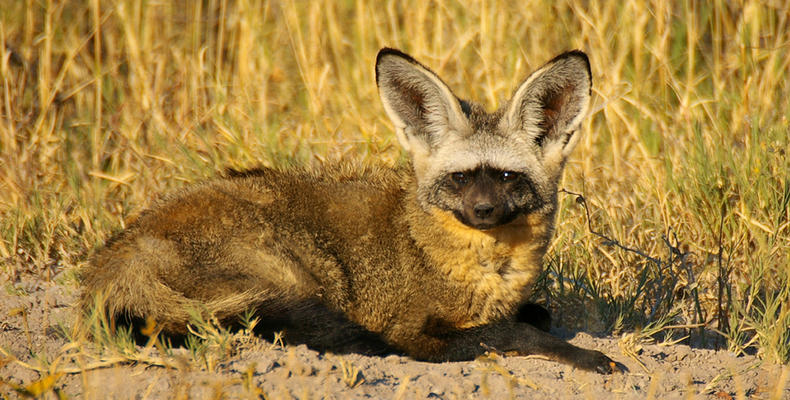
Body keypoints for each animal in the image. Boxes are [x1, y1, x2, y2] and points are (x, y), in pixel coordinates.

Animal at [79, 48, 620, 374]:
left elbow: (537, 314)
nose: (483, 210)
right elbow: (515, 331)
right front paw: (587, 356)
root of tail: (111, 260)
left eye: (507, 178)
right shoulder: (415, 333)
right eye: (461, 178)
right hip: (297, 273)